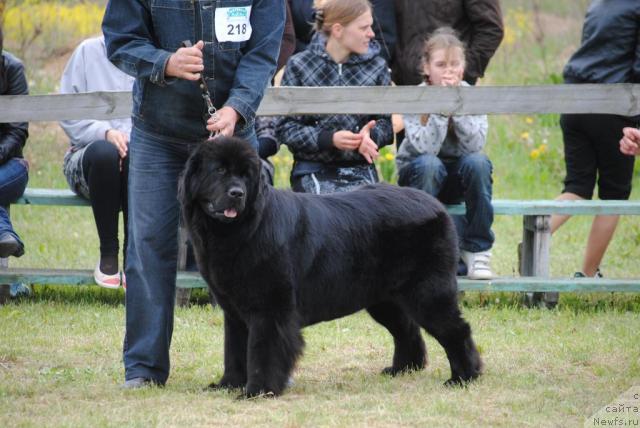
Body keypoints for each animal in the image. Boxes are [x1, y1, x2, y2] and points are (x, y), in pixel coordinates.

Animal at [178, 137, 482, 398]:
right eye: (219, 170)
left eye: (245, 176)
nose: (237, 193)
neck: (242, 230)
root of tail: (436, 205)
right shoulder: (234, 311)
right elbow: (234, 351)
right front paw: (227, 385)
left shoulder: (269, 310)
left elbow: (262, 351)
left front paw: (257, 391)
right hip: (384, 299)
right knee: (406, 329)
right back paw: (402, 369)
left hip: (428, 293)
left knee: (456, 330)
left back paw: (464, 377)